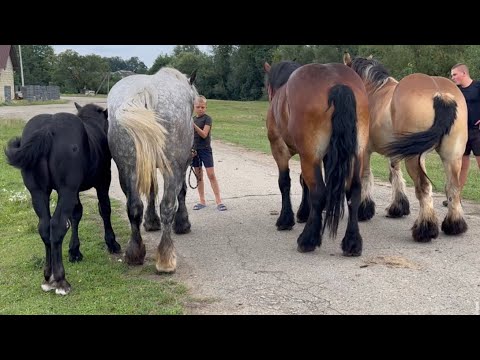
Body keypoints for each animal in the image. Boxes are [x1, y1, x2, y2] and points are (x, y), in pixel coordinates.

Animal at [4, 102, 121, 294]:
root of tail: (47, 128)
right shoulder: (103, 180)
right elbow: (104, 208)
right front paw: (112, 243)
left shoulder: (74, 191)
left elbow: (76, 214)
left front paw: (74, 251)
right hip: (67, 189)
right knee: (57, 225)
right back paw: (60, 279)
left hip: (38, 191)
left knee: (45, 226)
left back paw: (48, 276)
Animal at [262, 60, 372, 255]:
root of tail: (337, 83)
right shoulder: (327, 156)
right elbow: (306, 182)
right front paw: (304, 213)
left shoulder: (279, 148)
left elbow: (285, 182)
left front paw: (286, 219)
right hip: (355, 154)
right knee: (354, 191)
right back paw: (352, 242)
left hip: (309, 156)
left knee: (319, 191)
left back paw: (308, 239)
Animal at [344, 52, 468, 242]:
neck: (373, 91)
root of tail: (440, 93)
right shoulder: (395, 154)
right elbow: (395, 176)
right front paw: (398, 207)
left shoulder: (364, 151)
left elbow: (366, 176)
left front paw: (363, 210)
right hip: (452, 156)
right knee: (453, 187)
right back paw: (454, 225)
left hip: (415, 158)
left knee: (424, 188)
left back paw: (425, 229)